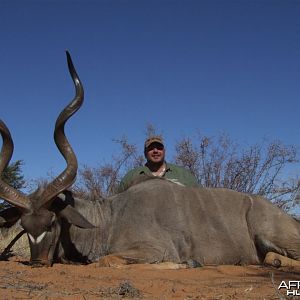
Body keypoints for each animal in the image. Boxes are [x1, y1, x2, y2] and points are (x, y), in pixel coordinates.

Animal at [0, 52, 300, 270]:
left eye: (51, 222)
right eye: (24, 227)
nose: (37, 263)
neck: (109, 219)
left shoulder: (153, 249)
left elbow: (107, 261)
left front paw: (186, 263)